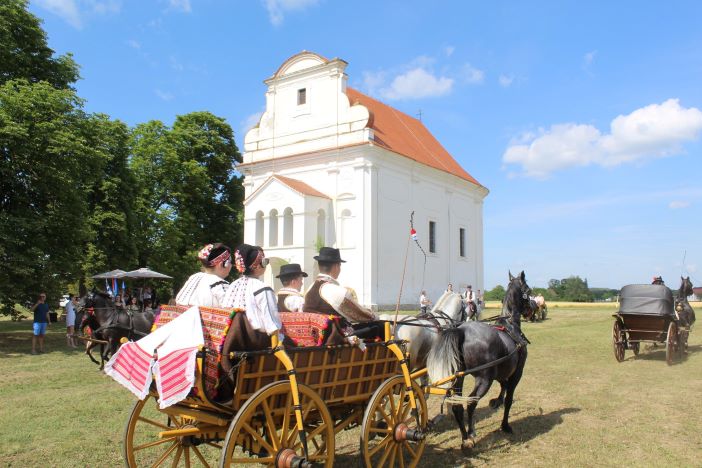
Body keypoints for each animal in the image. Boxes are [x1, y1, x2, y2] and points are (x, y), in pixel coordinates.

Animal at [426, 270, 532, 450]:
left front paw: (496, 401)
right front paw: (505, 425)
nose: (533, 309)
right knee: (470, 403)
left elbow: (503, 387)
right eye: (529, 290)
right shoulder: (517, 373)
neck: (510, 325)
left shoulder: (502, 371)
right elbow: (509, 399)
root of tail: (461, 331)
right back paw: (470, 435)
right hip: (484, 379)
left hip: (459, 377)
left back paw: (464, 437)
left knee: (457, 406)